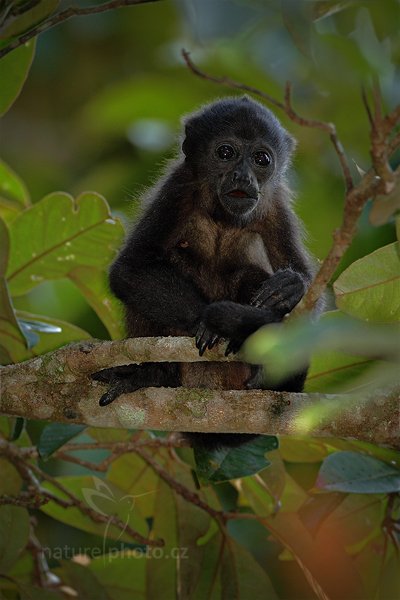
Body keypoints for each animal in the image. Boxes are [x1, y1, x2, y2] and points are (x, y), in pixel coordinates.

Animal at [94, 96, 318, 448]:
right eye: (225, 153)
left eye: (261, 159)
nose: (243, 176)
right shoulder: (178, 187)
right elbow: (130, 269)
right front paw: (206, 324)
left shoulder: (276, 205)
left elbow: (307, 290)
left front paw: (290, 287)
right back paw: (154, 375)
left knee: (250, 277)